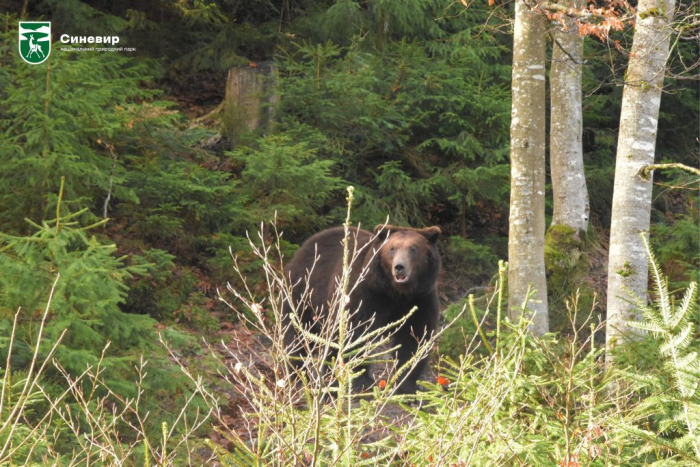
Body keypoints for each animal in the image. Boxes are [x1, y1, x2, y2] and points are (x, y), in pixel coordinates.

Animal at [282, 225, 440, 394]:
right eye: (392, 248)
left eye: (413, 248)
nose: (399, 267)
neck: (394, 292)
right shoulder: (363, 293)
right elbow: (353, 333)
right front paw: (360, 381)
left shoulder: (420, 299)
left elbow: (414, 337)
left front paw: (405, 384)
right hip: (305, 289)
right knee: (297, 331)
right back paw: (297, 372)